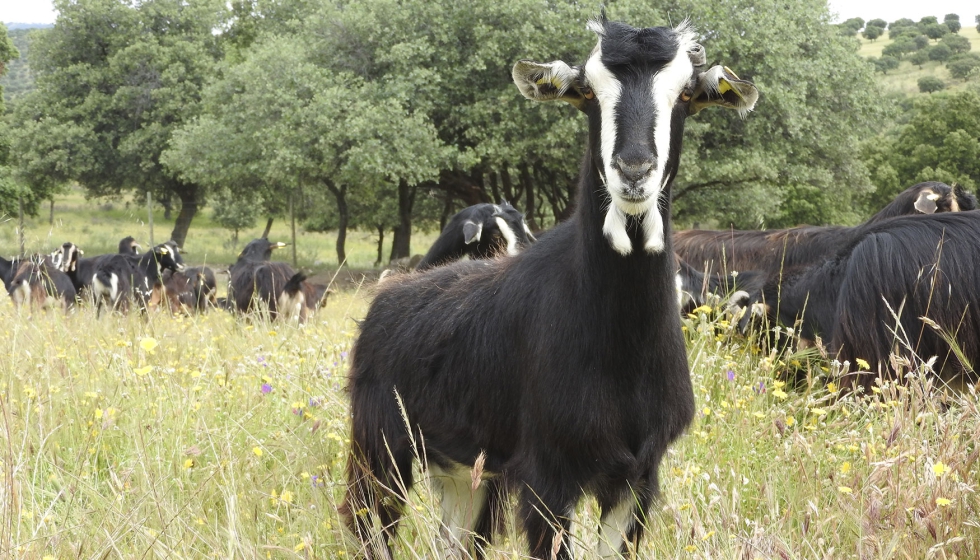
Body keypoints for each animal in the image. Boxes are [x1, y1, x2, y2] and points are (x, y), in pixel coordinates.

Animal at [343, 16, 758, 560]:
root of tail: (387, 300)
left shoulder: (637, 478)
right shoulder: (546, 476)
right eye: (588, 91)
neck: (624, 350)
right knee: (369, 527)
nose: (634, 170)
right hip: (381, 448)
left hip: (463, 472)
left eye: (686, 94)